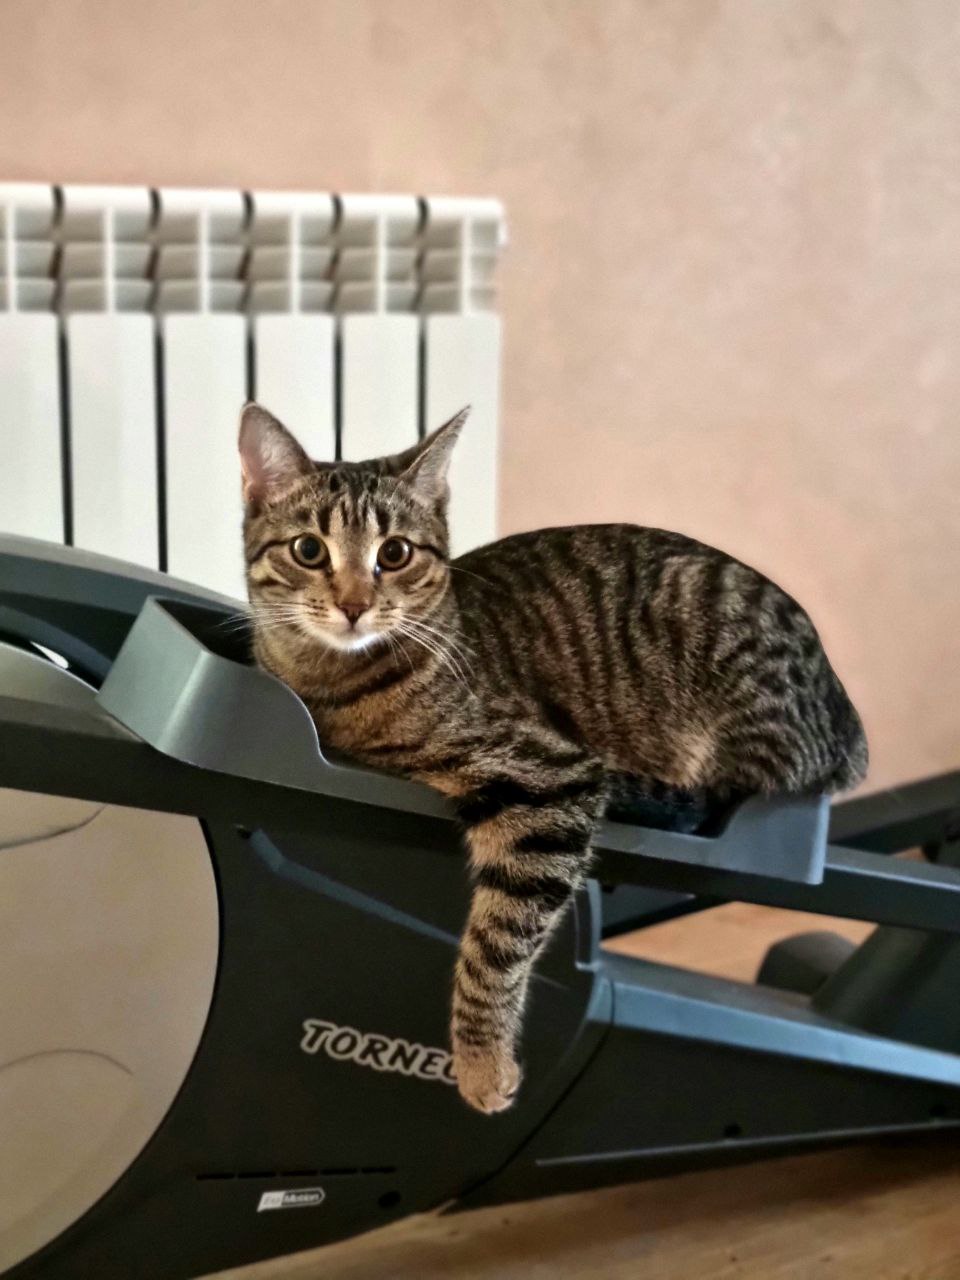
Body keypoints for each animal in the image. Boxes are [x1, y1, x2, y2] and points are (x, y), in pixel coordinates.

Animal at [238, 401, 868, 1114]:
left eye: (393, 553)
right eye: (309, 550)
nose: (353, 605)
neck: (330, 686)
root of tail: (845, 716)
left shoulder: (550, 778)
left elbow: (496, 942)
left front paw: (481, 1063)